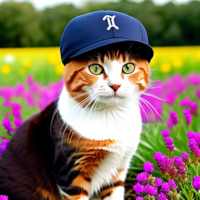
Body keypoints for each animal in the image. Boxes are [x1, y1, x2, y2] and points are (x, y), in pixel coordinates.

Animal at [0, 43, 149, 200]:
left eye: (128, 67)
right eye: (95, 69)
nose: (115, 85)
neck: (111, 115)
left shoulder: (118, 168)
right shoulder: (69, 169)